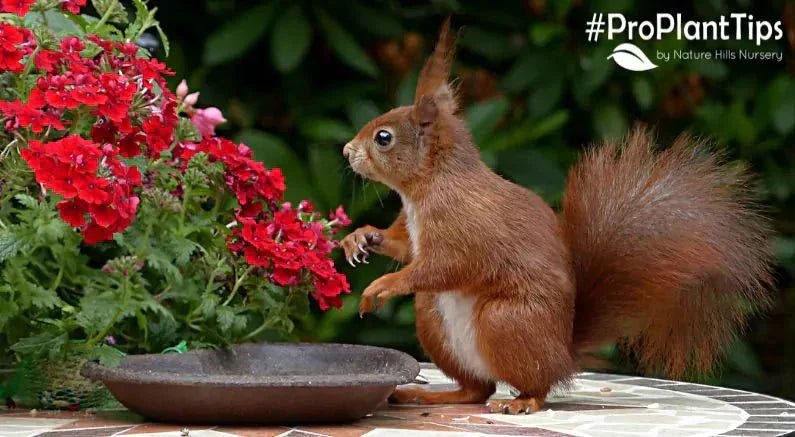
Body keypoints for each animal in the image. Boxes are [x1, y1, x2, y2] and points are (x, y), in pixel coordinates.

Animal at [340, 19, 774, 414]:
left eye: (383, 137)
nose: (346, 151)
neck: (427, 186)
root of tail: (564, 353)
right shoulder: (415, 229)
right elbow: (405, 247)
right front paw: (361, 237)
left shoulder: (463, 224)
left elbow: (446, 265)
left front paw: (383, 285)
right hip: (433, 319)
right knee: (477, 389)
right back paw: (430, 394)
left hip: (506, 321)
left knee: (534, 384)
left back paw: (521, 401)